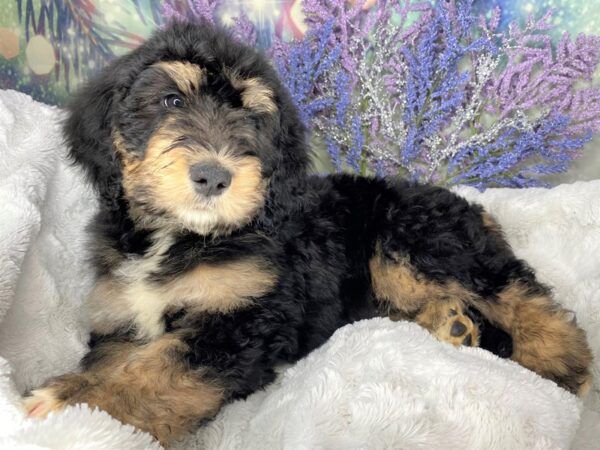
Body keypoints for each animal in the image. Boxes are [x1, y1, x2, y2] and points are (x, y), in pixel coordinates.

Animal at [24, 21, 596, 446]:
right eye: (170, 102)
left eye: (253, 119)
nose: (213, 176)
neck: (184, 236)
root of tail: (461, 202)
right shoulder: (122, 319)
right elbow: (127, 360)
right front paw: (82, 390)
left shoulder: (245, 318)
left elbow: (160, 370)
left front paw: (70, 403)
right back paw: (452, 325)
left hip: (418, 241)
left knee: (517, 292)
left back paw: (560, 362)